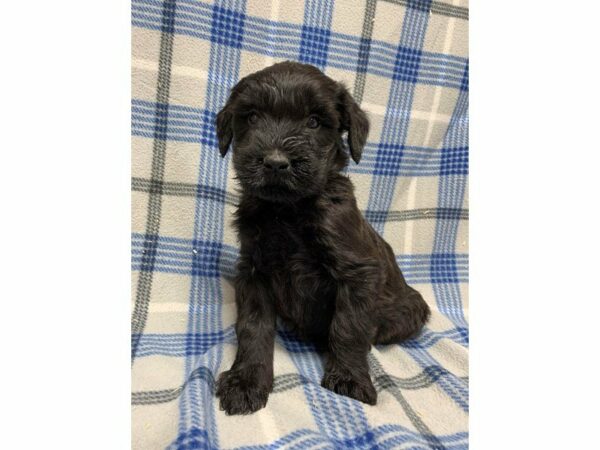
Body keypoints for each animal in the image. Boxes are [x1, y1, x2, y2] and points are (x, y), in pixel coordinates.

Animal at [213, 60, 428, 414]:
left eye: (314, 122)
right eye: (253, 117)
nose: (275, 163)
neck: (286, 211)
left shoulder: (358, 273)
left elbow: (348, 328)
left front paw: (350, 379)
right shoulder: (254, 272)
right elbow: (253, 327)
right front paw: (246, 381)